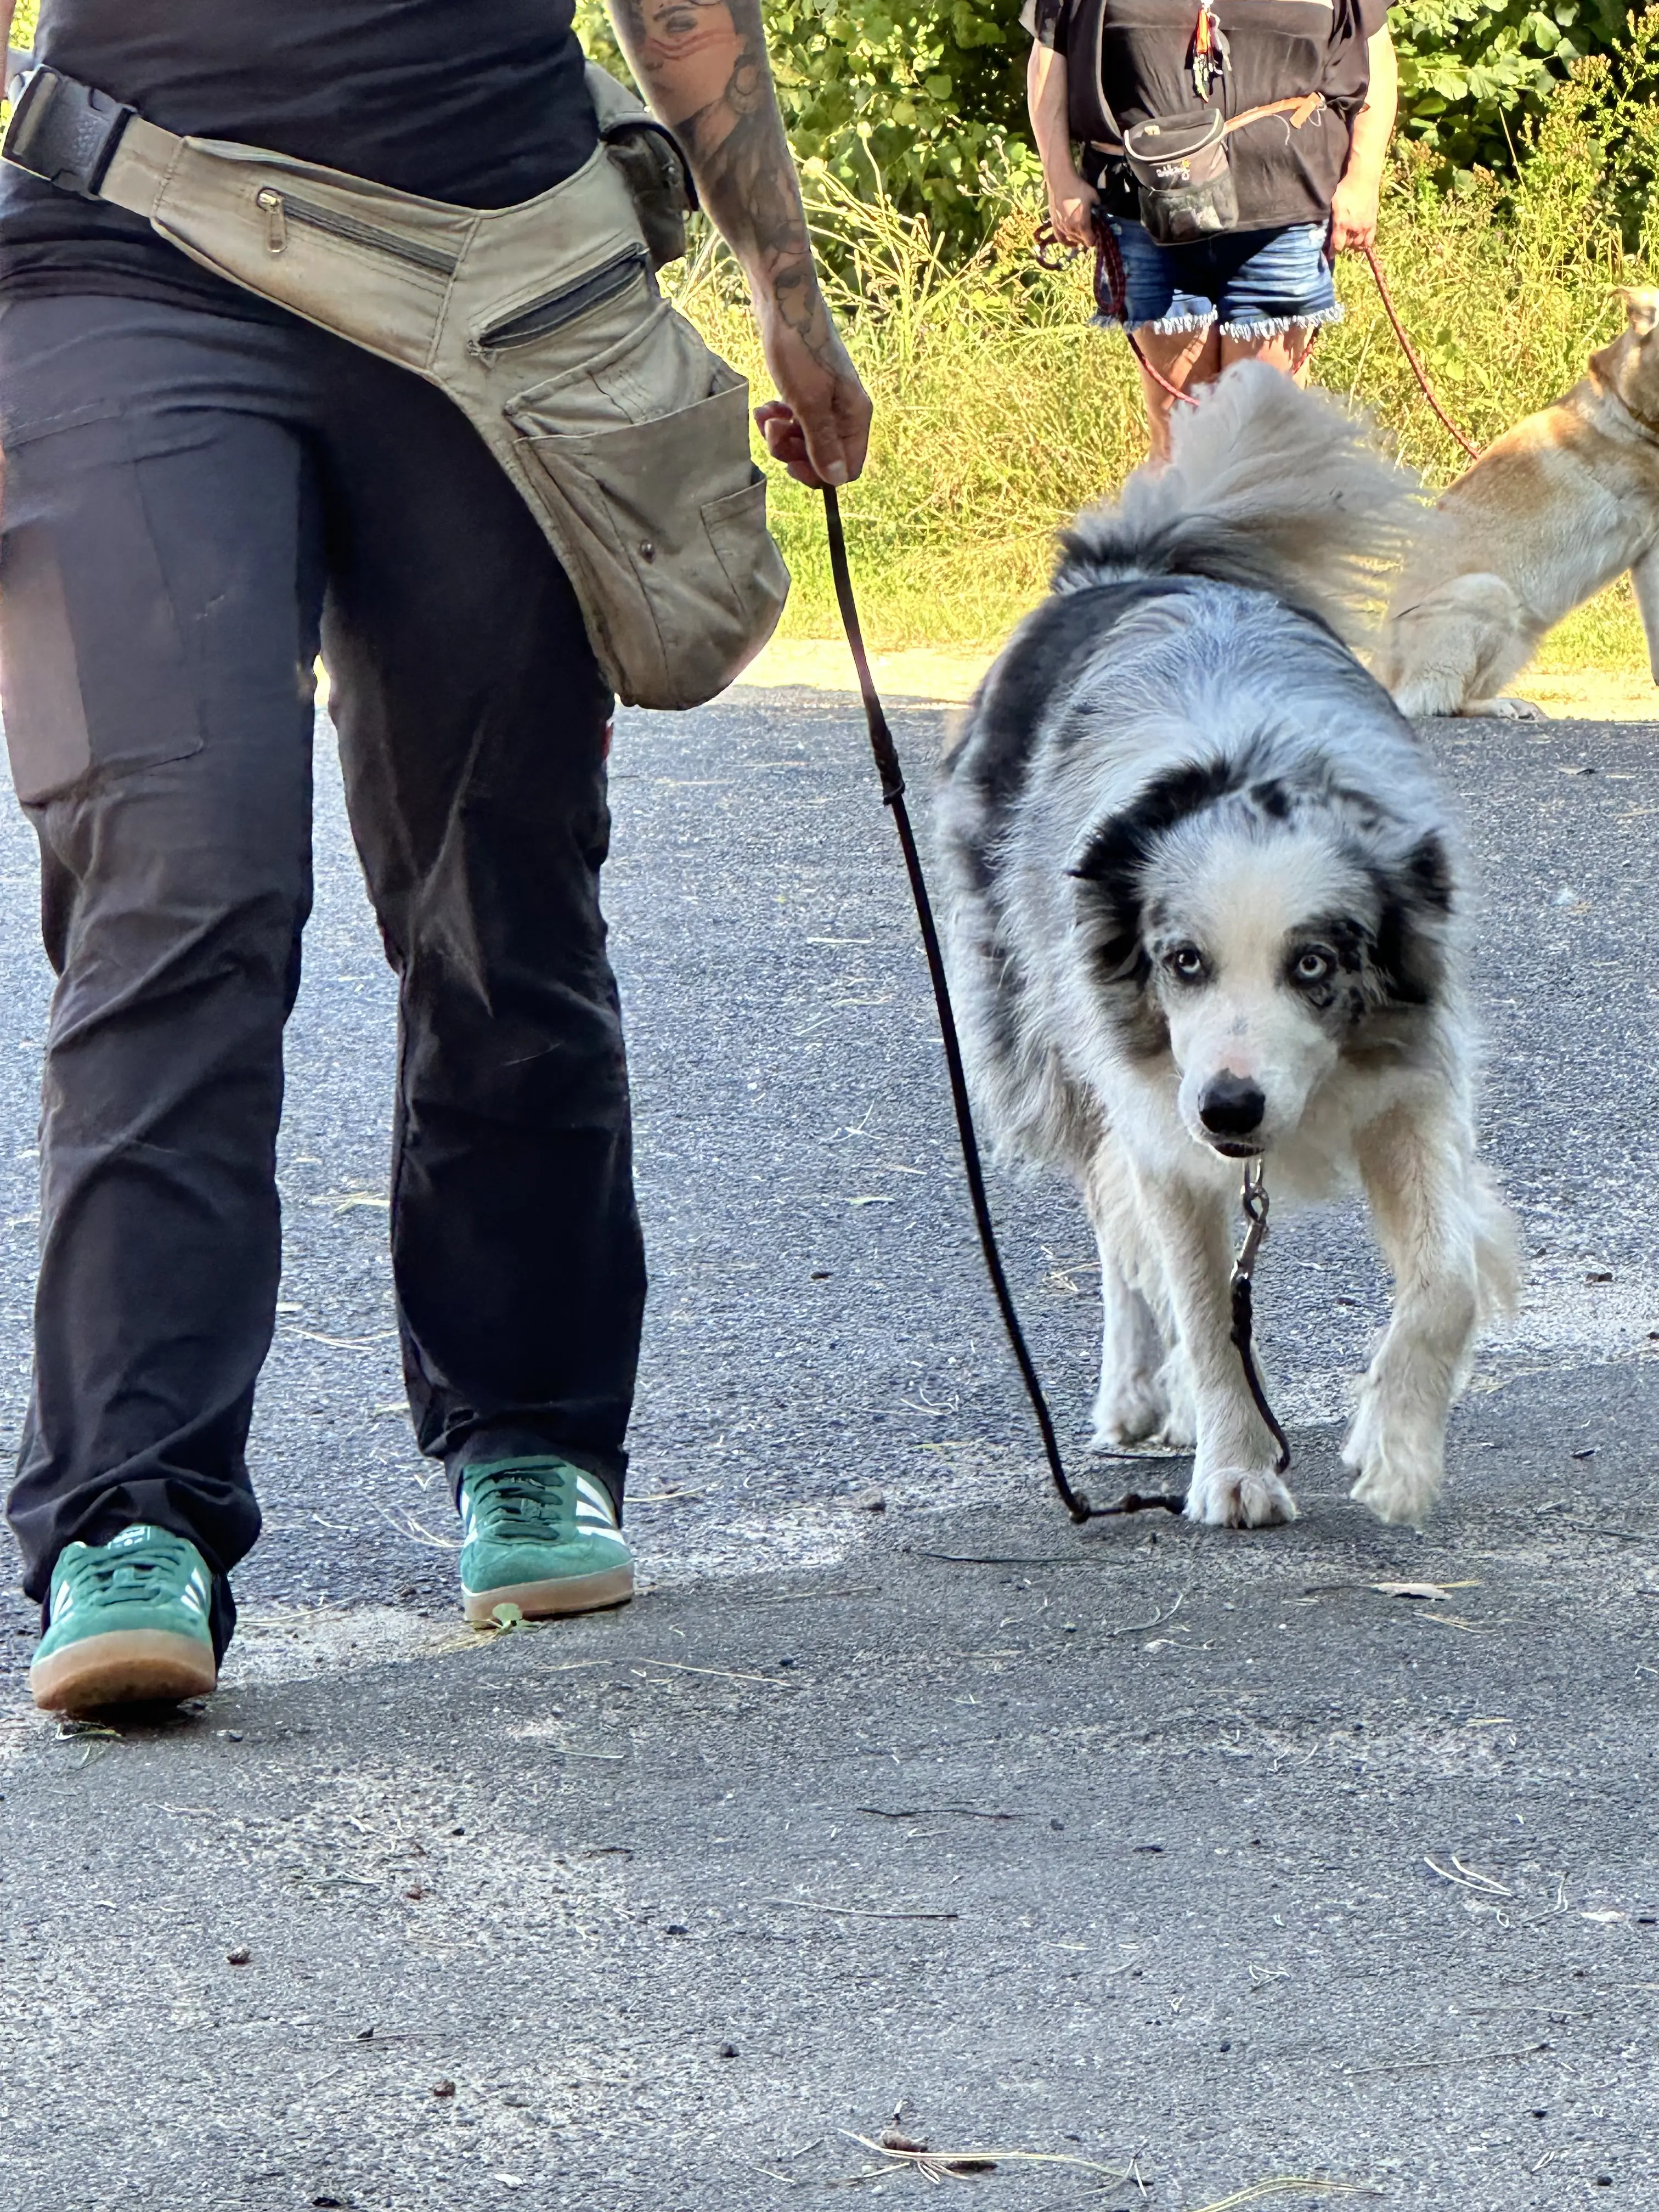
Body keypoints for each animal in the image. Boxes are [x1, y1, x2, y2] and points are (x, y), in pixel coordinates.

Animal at [1380, 292, 1659, 716]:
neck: (1631, 410)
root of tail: (1391, 685)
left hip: (1521, 640)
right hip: (1488, 593)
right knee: (1450, 701)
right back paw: (1501, 707)